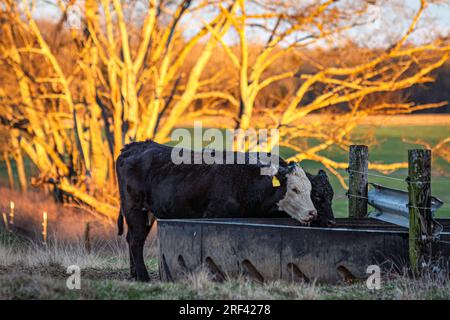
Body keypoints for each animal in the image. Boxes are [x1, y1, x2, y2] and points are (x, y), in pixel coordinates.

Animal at [116, 141, 334, 282]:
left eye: (312, 191)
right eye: (295, 189)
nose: (312, 213)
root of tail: (135, 146)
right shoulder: (214, 216)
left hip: (146, 213)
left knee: (132, 238)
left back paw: (134, 274)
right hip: (134, 208)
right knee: (135, 241)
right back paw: (143, 277)